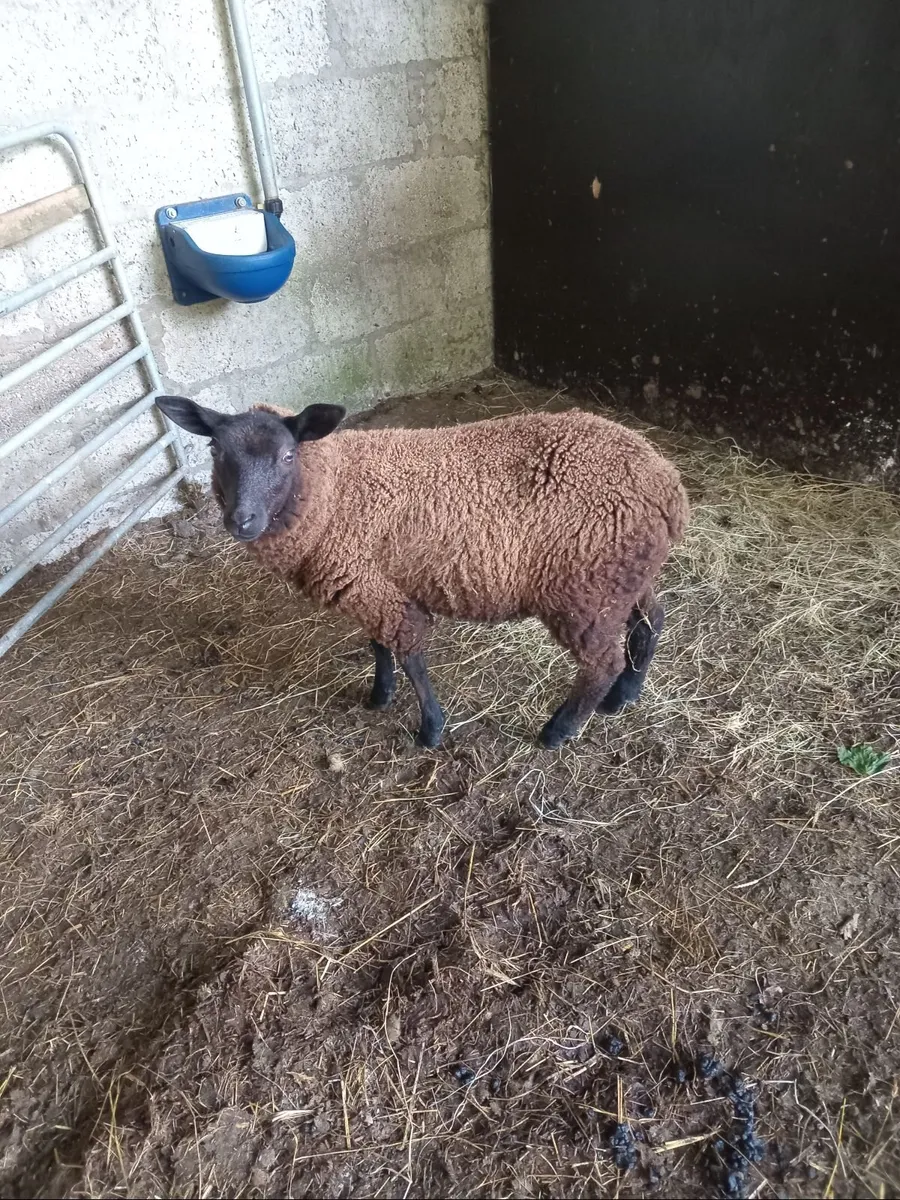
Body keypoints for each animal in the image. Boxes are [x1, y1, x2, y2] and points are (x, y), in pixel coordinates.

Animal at [155, 395, 689, 749]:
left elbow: (410, 654)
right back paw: (624, 698)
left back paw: (558, 730)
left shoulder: (371, 585)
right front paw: (380, 695)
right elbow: (378, 646)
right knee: (651, 622)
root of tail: (668, 485)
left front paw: (430, 728)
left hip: (584, 590)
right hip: (624, 577)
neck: (333, 490)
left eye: (288, 455)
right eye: (215, 452)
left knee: (602, 662)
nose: (241, 521)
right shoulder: (371, 581)